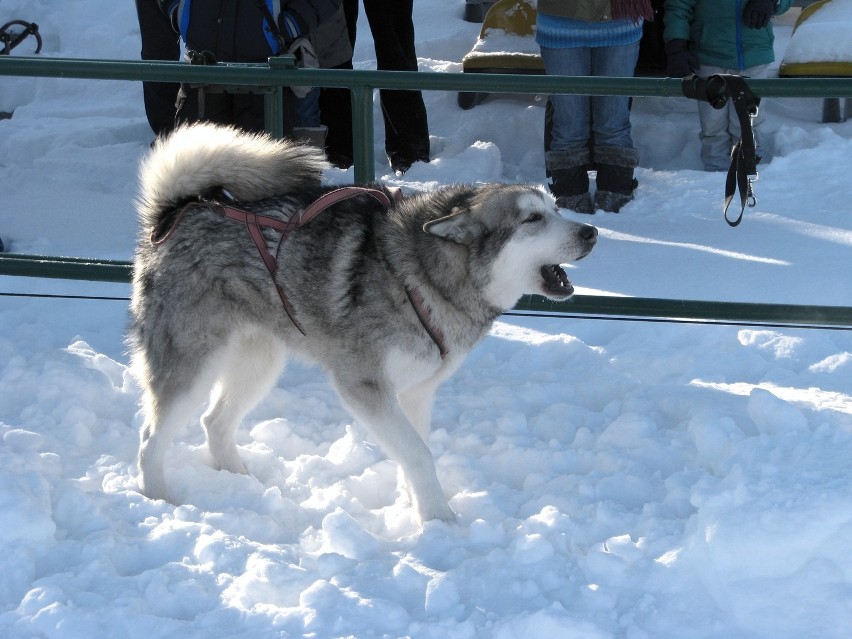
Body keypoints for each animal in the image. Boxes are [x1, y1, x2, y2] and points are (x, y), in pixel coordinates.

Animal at [131, 122, 600, 524]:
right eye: (531, 219)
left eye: (556, 208)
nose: (592, 232)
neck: (423, 276)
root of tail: (177, 213)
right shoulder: (365, 387)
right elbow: (419, 454)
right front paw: (441, 522)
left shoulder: (415, 392)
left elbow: (415, 452)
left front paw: (415, 505)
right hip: (192, 365)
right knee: (150, 440)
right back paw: (160, 502)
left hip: (260, 362)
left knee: (214, 423)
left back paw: (243, 483)